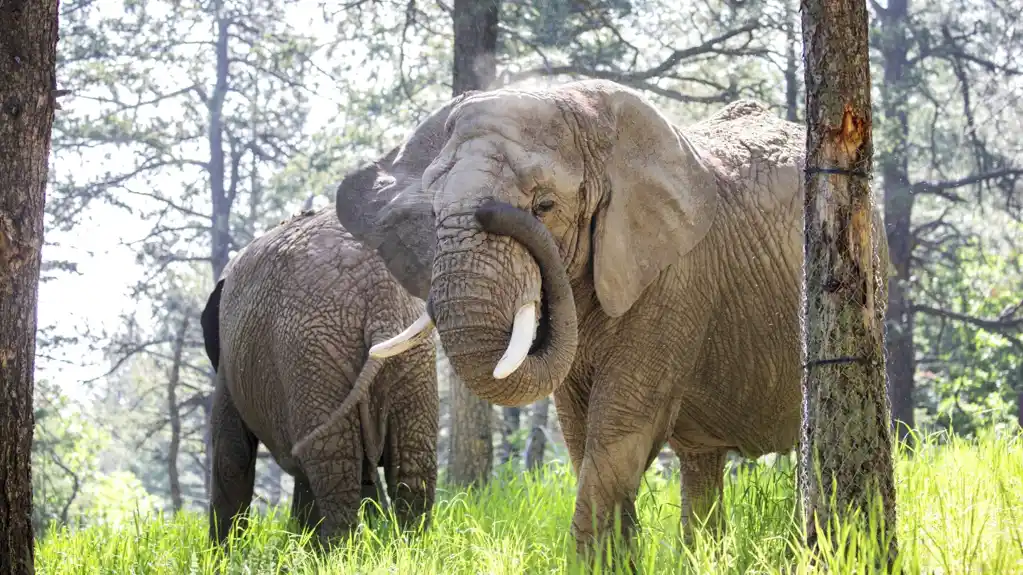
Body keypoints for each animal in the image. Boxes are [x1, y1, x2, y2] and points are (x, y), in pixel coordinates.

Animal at [200, 205, 439, 544]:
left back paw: (336, 551)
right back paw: (407, 547)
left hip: (311, 355)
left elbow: (231, 453)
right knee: (411, 468)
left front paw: (222, 553)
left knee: (333, 465)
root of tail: (379, 298)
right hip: (409, 358)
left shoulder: (228, 364)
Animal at [329, 78, 887, 556]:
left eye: (545, 205)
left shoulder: (676, 277)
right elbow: (579, 431)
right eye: (431, 213)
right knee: (700, 462)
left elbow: (620, 424)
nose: (492, 211)